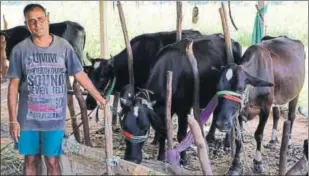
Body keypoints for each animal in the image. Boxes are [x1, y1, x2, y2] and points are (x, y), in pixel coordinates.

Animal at [120, 34, 243, 164]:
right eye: (124, 126)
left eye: (145, 128)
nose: (131, 159)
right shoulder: (162, 111)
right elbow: (162, 132)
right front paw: (161, 156)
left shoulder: (183, 109)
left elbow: (181, 135)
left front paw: (183, 159)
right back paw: (210, 137)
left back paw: (227, 143)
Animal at [213, 35, 304, 175]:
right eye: (218, 87)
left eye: (240, 88)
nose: (221, 123)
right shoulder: (239, 112)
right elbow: (239, 138)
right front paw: (236, 165)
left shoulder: (265, 108)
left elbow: (259, 135)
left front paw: (258, 162)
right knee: (277, 114)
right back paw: (272, 141)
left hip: (296, 94)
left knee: (291, 116)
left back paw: (288, 142)